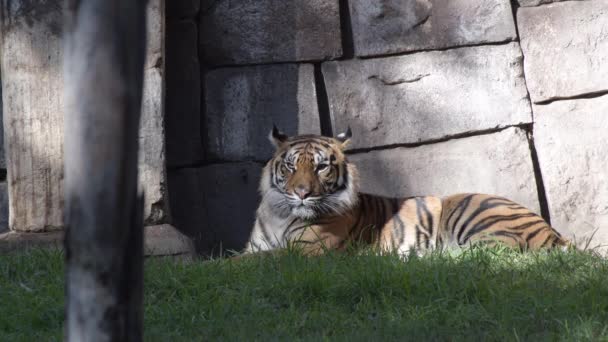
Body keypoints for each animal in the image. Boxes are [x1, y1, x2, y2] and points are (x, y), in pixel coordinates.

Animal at [243, 127, 568, 255]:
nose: (302, 193)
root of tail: (552, 232)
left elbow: (248, 262)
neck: (280, 214)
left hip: (468, 209)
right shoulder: (258, 246)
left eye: (321, 167)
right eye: (290, 166)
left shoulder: (306, 251)